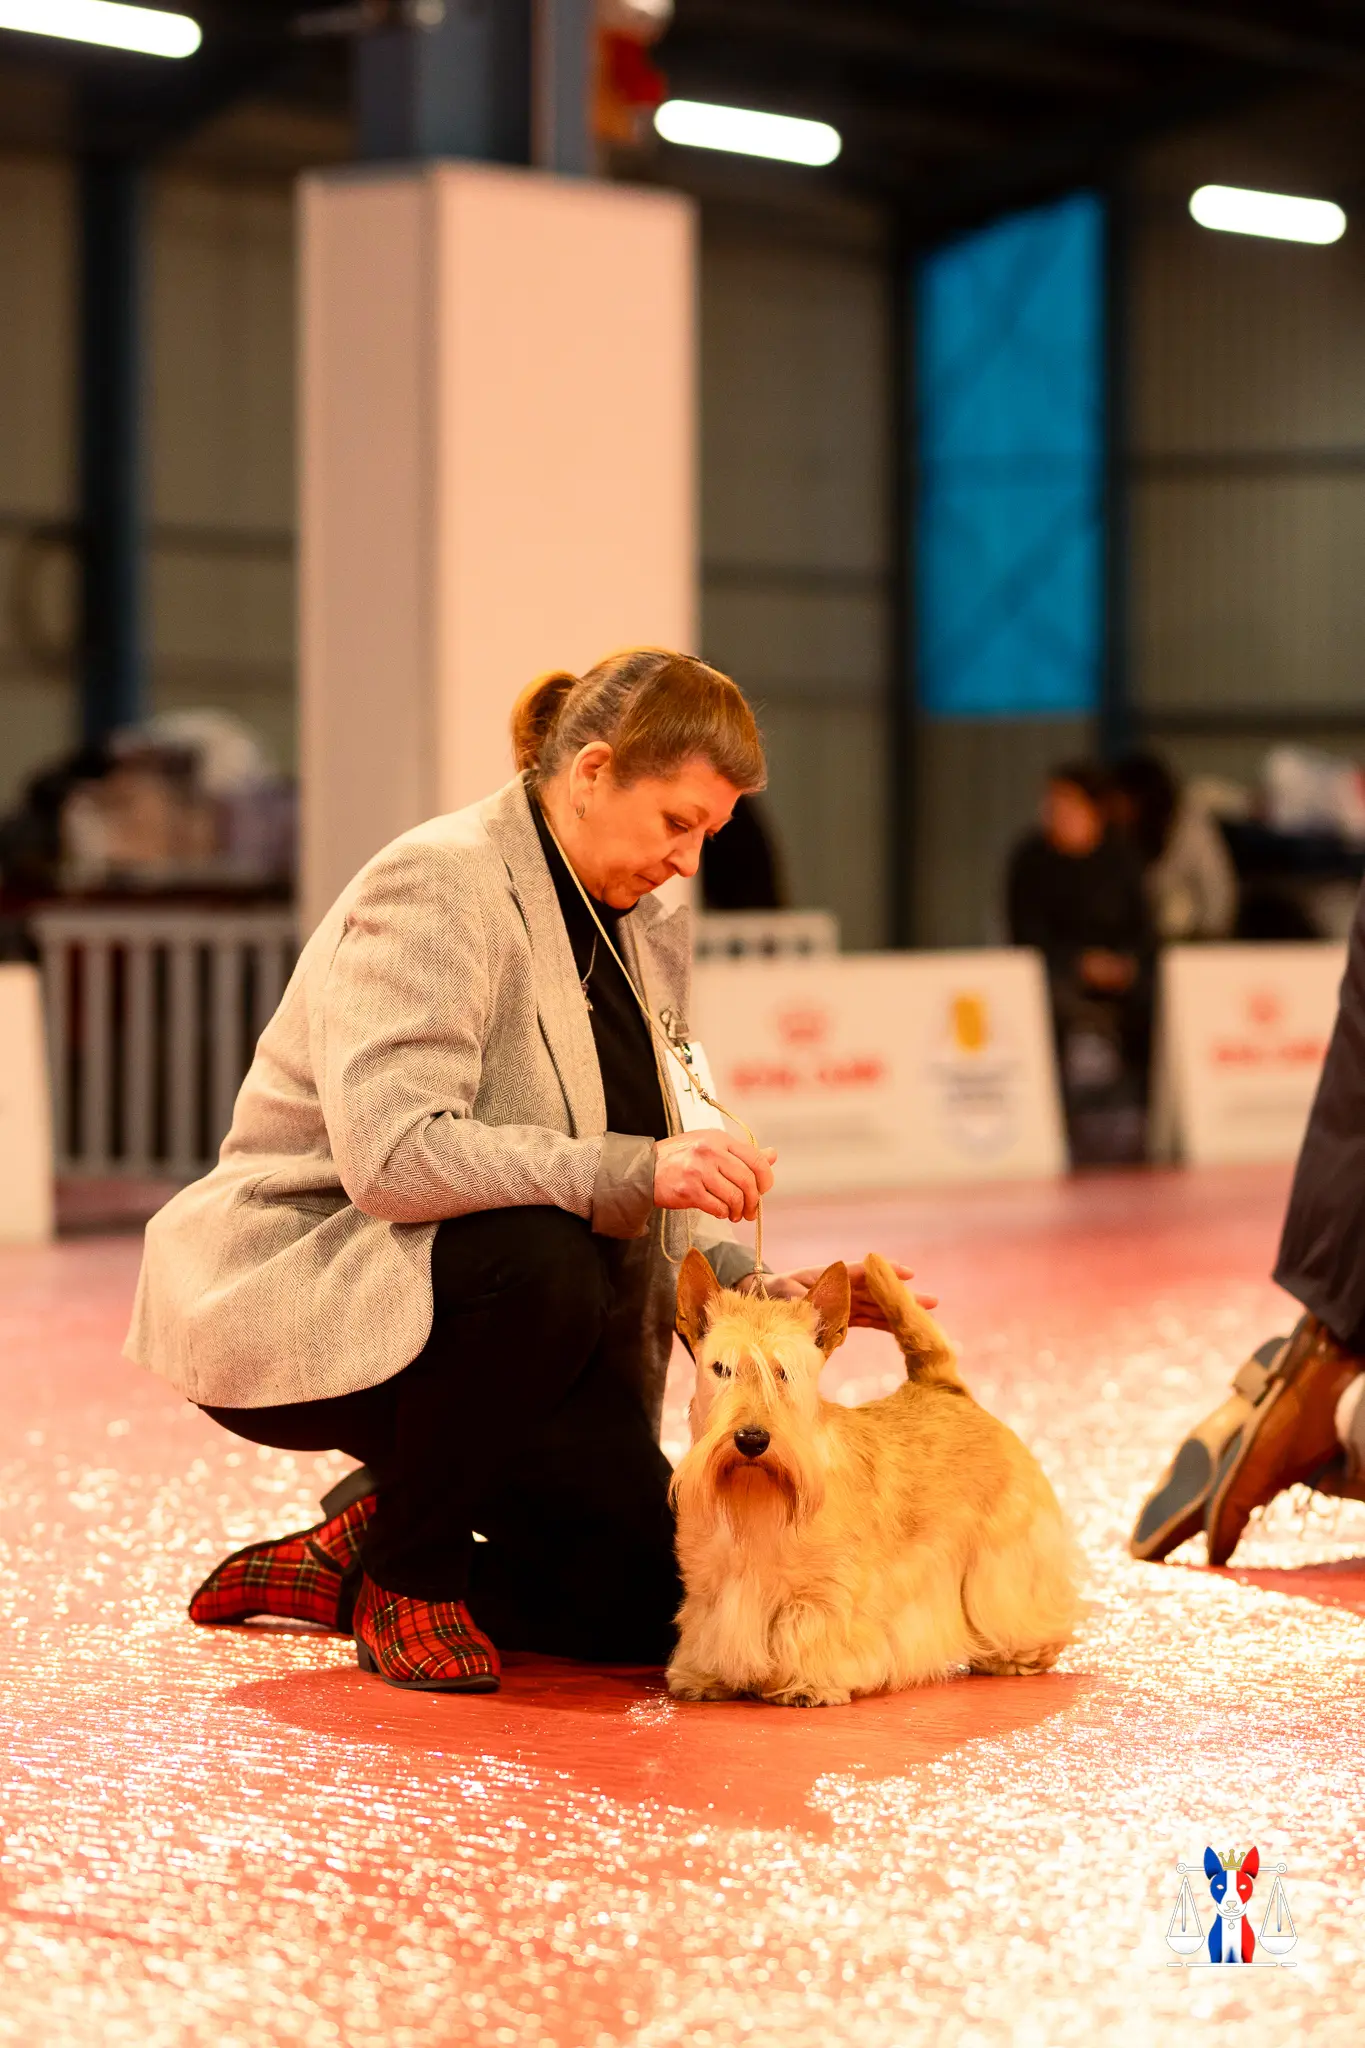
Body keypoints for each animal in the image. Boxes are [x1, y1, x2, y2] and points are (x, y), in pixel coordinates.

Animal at [667, 1250, 1081, 1707]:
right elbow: (709, 1632)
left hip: (1007, 1553)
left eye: (786, 1372)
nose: (752, 1439)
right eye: (720, 1367)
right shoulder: (711, 1591)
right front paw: (705, 1677)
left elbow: (816, 1636)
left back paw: (1019, 1654)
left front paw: (809, 1684)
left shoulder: (823, 1594)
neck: (756, 1497)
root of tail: (945, 1388)